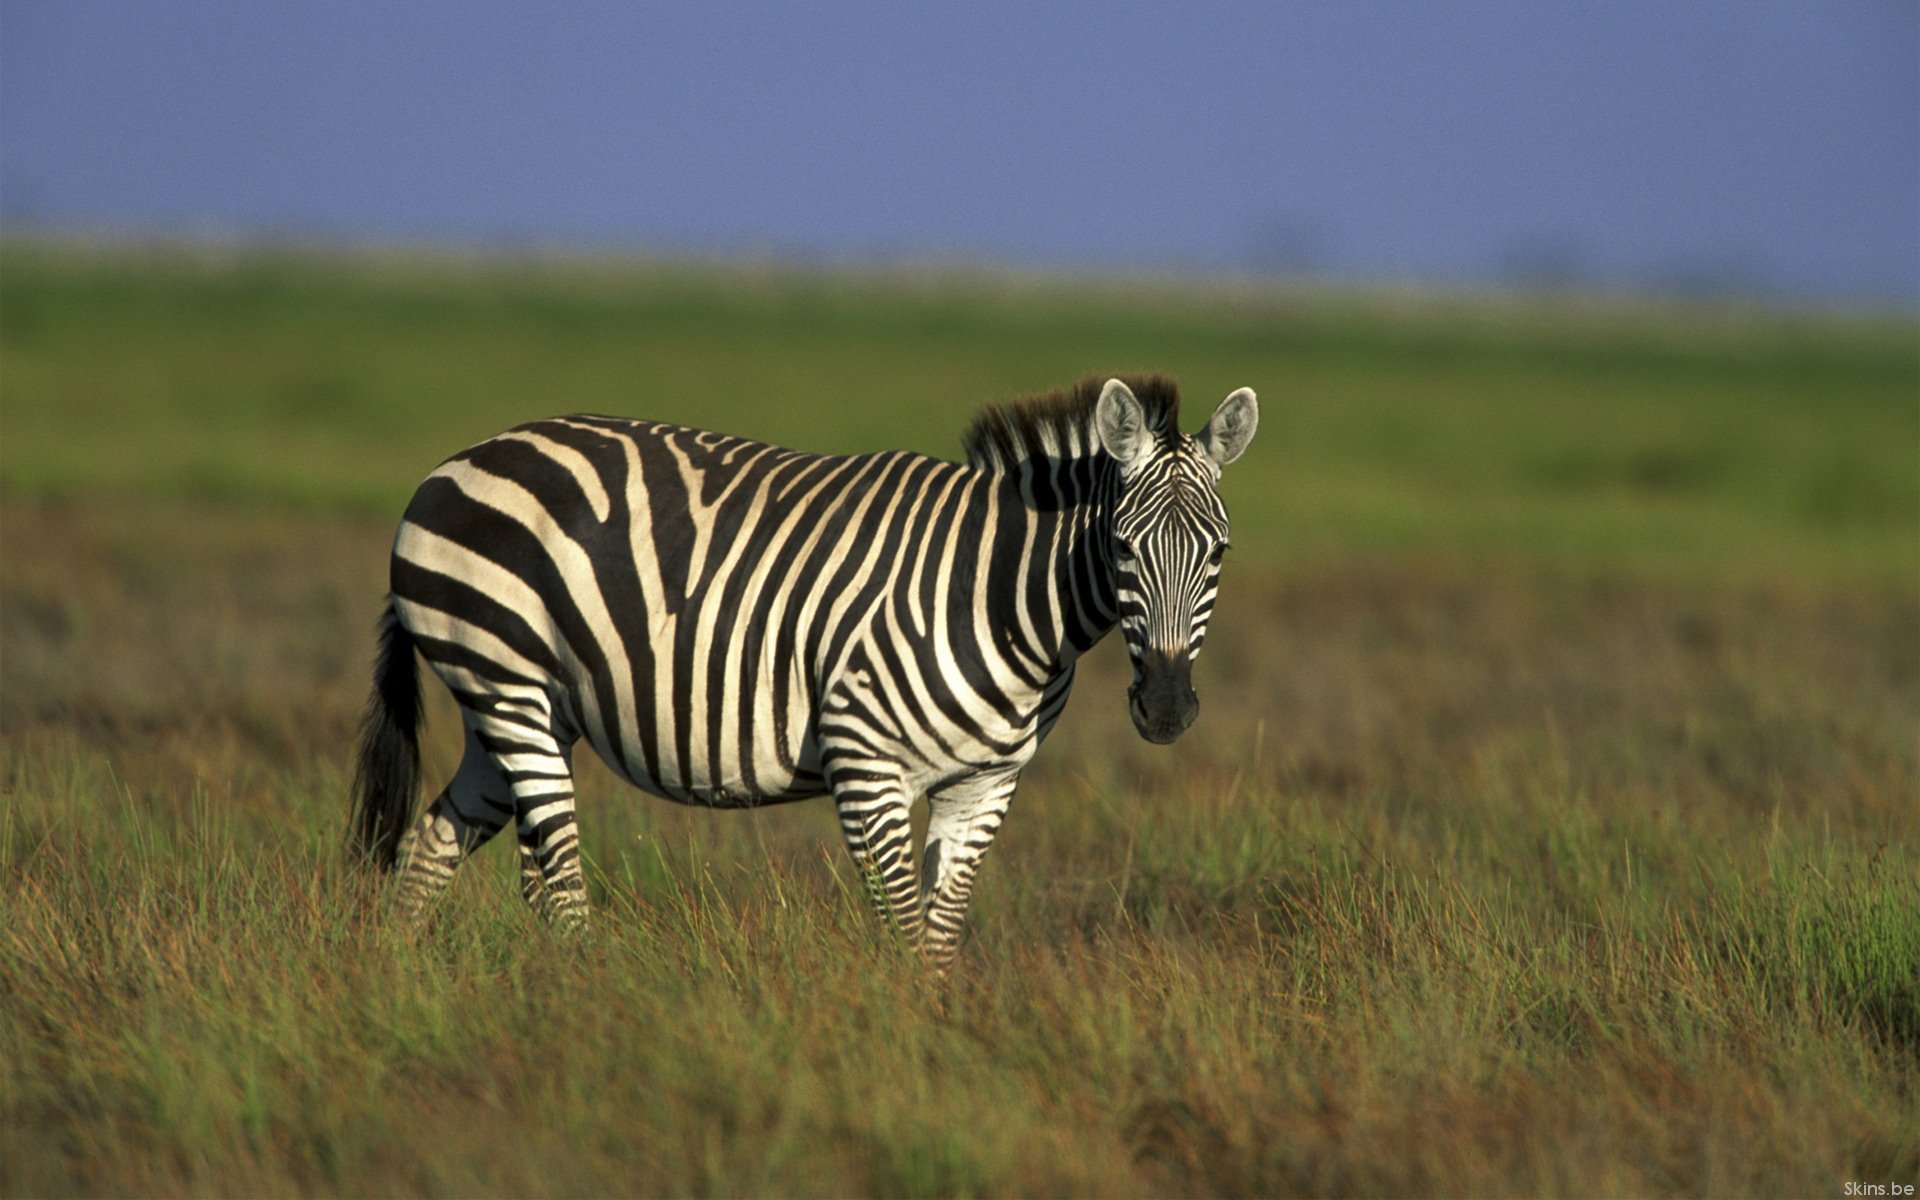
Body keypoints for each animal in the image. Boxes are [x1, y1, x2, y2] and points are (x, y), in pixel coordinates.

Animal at [350, 374, 1257, 970]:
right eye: (1124, 548)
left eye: (1219, 553)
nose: (1167, 710)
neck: (1002, 596)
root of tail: (459, 462)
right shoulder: (866, 766)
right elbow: (903, 931)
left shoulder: (986, 782)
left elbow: (939, 939)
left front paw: (944, 1056)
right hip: (505, 681)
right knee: (559, 888)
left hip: (520, 710)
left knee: (436, 847)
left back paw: (399, 988)